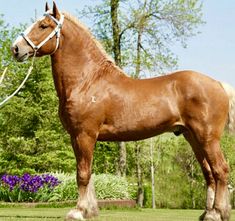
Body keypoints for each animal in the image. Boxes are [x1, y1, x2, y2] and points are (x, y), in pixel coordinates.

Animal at [11, 2, 235, 221]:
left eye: (43, 26)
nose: (15, 48)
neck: (87, 81)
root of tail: (219, 84)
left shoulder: (84, 135)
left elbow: (82, 174)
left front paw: (78, 211)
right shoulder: (76, 137)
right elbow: (88, 173)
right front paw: (90, 210)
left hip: (207, 138)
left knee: (221, 170)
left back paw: (217, 213)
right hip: (193, 138)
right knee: (209, 173)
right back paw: (208, 212)